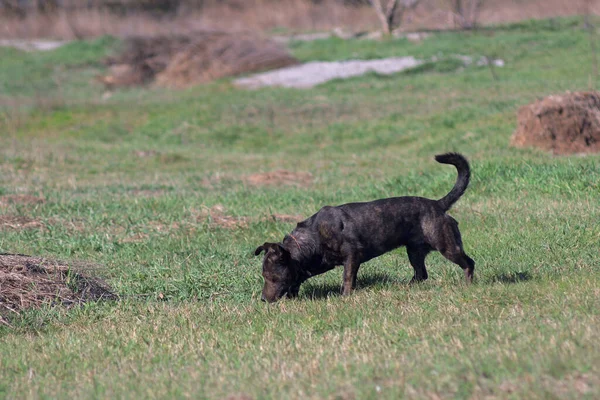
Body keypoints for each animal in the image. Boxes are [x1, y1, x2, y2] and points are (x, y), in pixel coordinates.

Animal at [255, 153, 476, 304]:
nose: (263, 300)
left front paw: (344, 297)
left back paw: (467, 284)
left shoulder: (352, 255)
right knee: (421, 274)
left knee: (469, 263)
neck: (312, 239)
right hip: (414, 251)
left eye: (271, 277)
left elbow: (347, 278)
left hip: (447, 246)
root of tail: (438, 205)